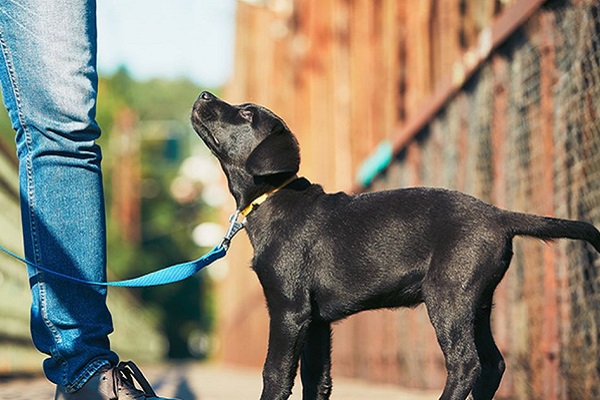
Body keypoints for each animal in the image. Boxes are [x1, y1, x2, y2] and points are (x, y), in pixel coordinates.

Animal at [191, 91, 600, 400]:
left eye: (246, 113)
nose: (204, 94)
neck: (272, 197)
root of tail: (499, 215)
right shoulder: (317, 320)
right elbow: (316, 381)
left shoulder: (289, 310)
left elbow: (275, 374)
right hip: (478, 301)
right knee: (492, 364)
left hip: (448, 296)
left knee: (466, 364)